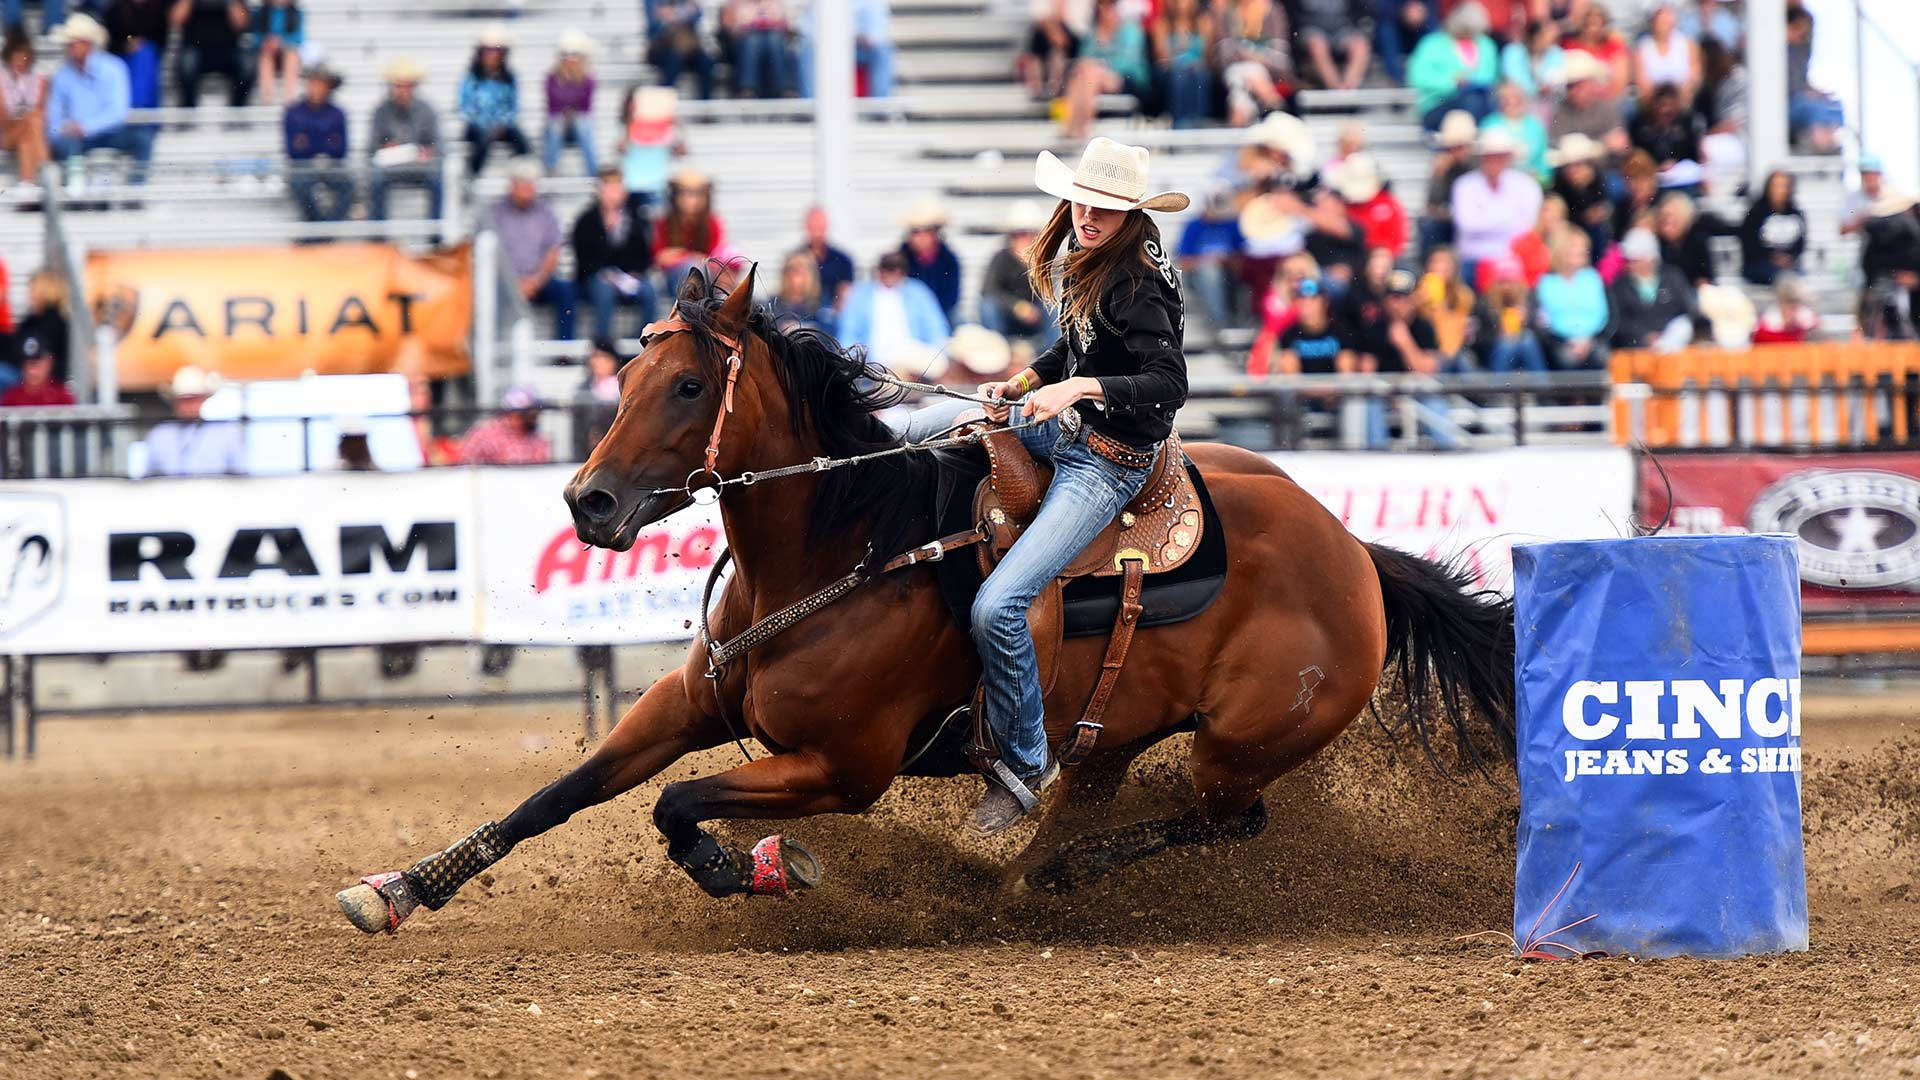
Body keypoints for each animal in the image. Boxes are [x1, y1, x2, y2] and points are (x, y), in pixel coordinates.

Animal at [340, 267, 1516, 923]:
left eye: (685, 384)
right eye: (624, 379)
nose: (588, 503)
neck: (840, 549)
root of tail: (1356, 554)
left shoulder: (844, 769)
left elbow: (679, 807)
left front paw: (754, 871)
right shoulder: (684, 706)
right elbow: (560, 795)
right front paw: (399, 891)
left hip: (1242, 744)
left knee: (1230, 820)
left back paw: (1053, 877)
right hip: (1117, 734)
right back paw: (1030, 868)